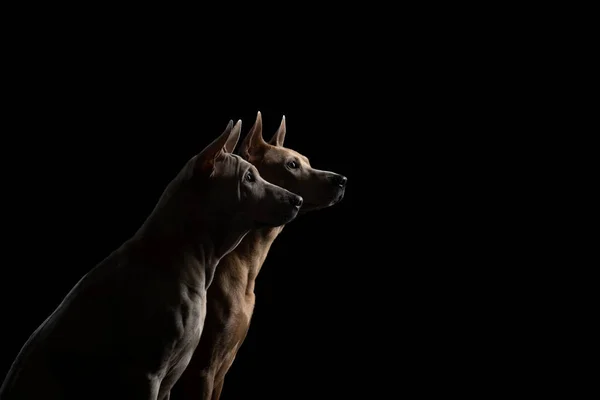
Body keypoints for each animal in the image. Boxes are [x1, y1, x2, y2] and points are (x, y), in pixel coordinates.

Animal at [170, 112, 346, 400]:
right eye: (292, 165)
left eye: (306, 161)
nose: (342, 180)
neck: (245, 261)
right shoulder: (202, 370)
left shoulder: (221, 370)